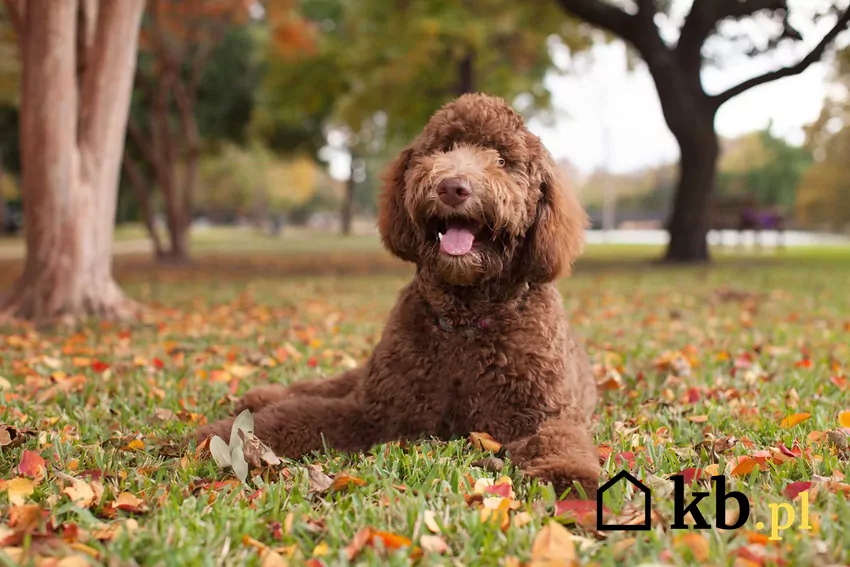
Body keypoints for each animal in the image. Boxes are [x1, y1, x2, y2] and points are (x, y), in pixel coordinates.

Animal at [195, 92, 600, 496]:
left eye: (502, 160)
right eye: (443, 148)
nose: (452, 187)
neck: (464, 324)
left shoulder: (543, 413)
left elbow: (560, 437)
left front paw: (568, 474)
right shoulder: (374, 409)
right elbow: (292, 416)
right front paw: (210, 438)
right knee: (318, 388)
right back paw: (261, 396)